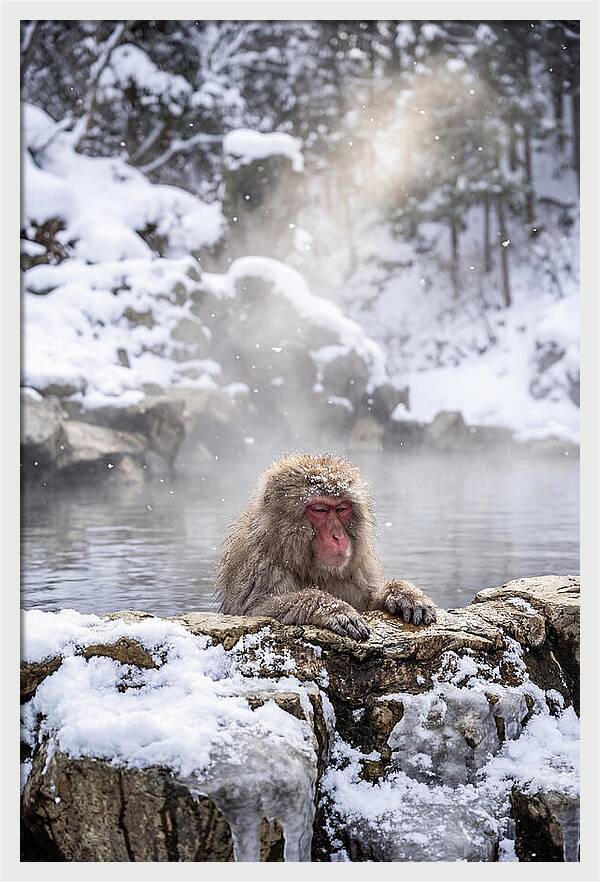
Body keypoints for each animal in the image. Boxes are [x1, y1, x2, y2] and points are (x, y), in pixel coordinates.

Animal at [215, 452, 437, 641]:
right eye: (320, 510)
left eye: (341, 509)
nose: (338, 536)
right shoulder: (258, 564)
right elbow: (255, 610)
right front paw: (332, 608)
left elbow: (368, 601)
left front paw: (403, 594)